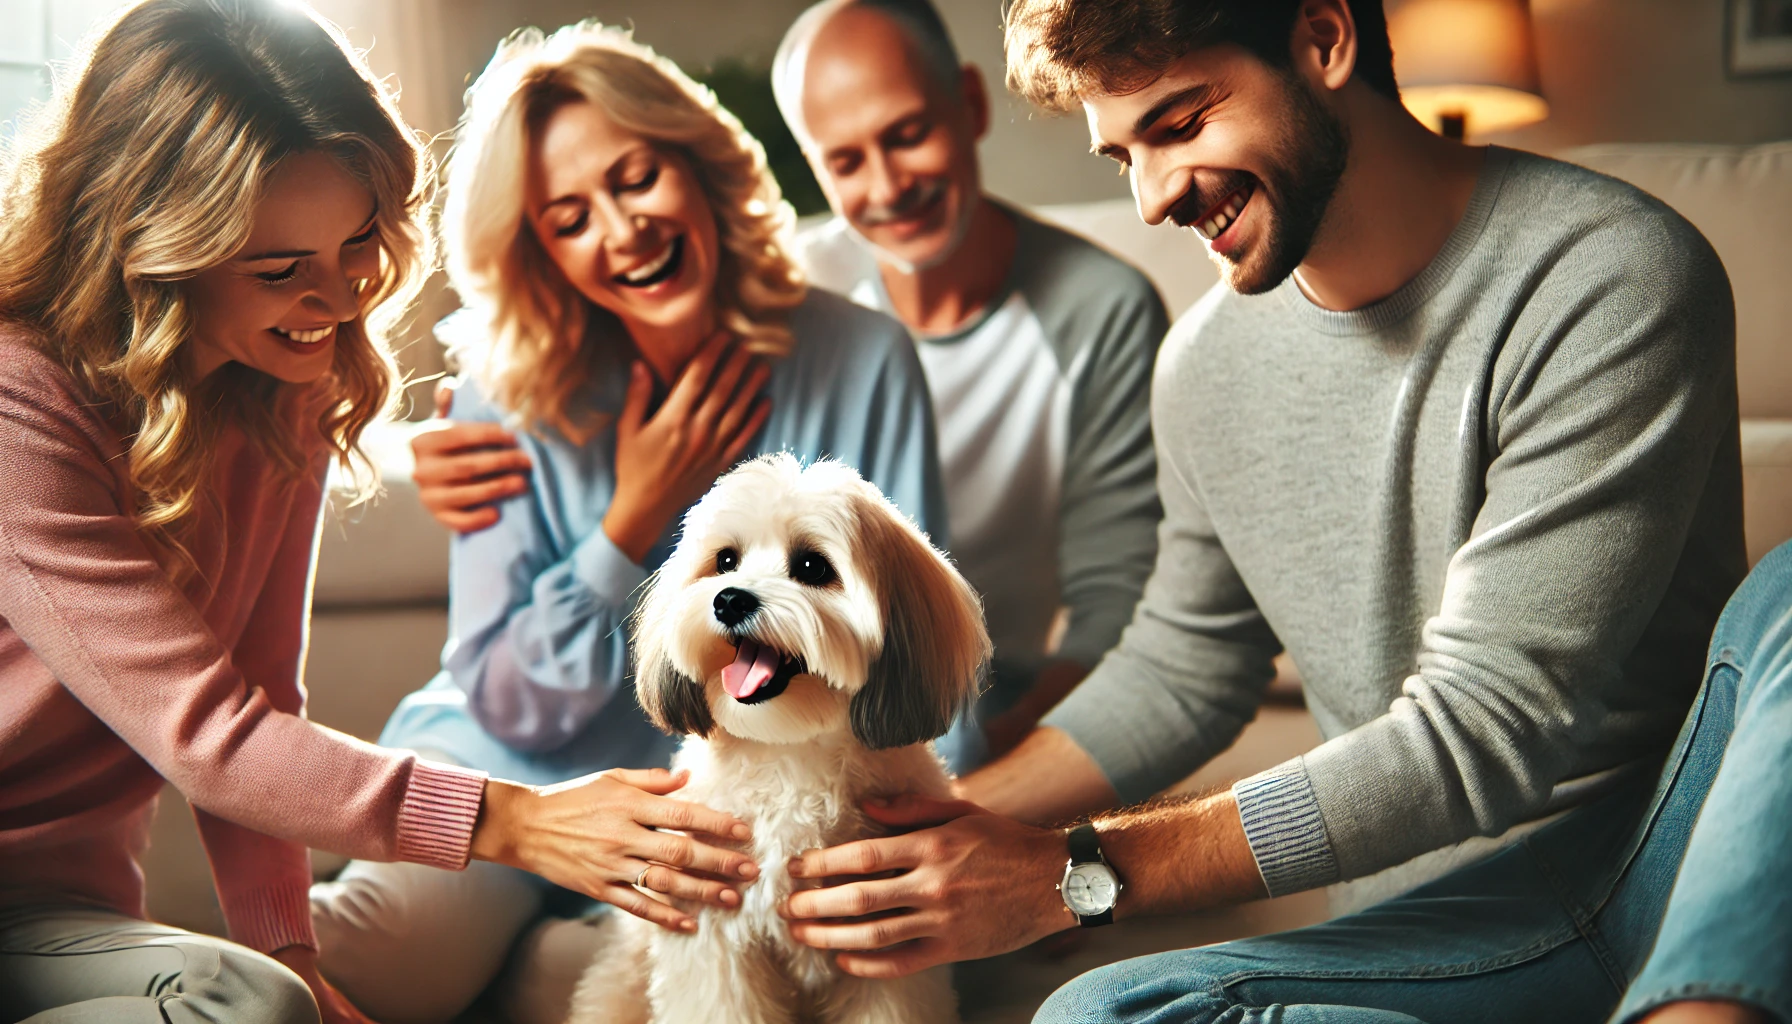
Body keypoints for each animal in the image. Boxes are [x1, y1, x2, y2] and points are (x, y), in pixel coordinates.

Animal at [569, 455, 989, 1024]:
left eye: (812, 567)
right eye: (726, 560)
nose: (728, 599)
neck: (790, 752)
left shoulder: (882, 945)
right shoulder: (713, 937)